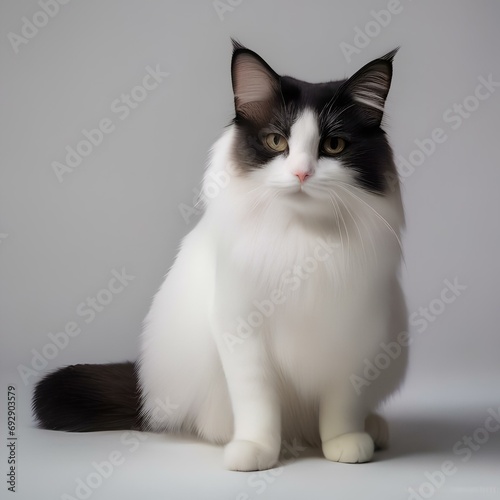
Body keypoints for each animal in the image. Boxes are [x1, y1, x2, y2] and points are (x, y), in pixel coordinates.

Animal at [31, 41, 408, 470]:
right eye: (276, 142)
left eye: (333, 146)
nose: (301, 174)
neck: (302, 239)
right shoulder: (242, 330)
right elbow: (258, 403)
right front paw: (256, 450)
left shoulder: (352, 337)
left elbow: (342, 406)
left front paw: (345, 443)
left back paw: (371, 429)